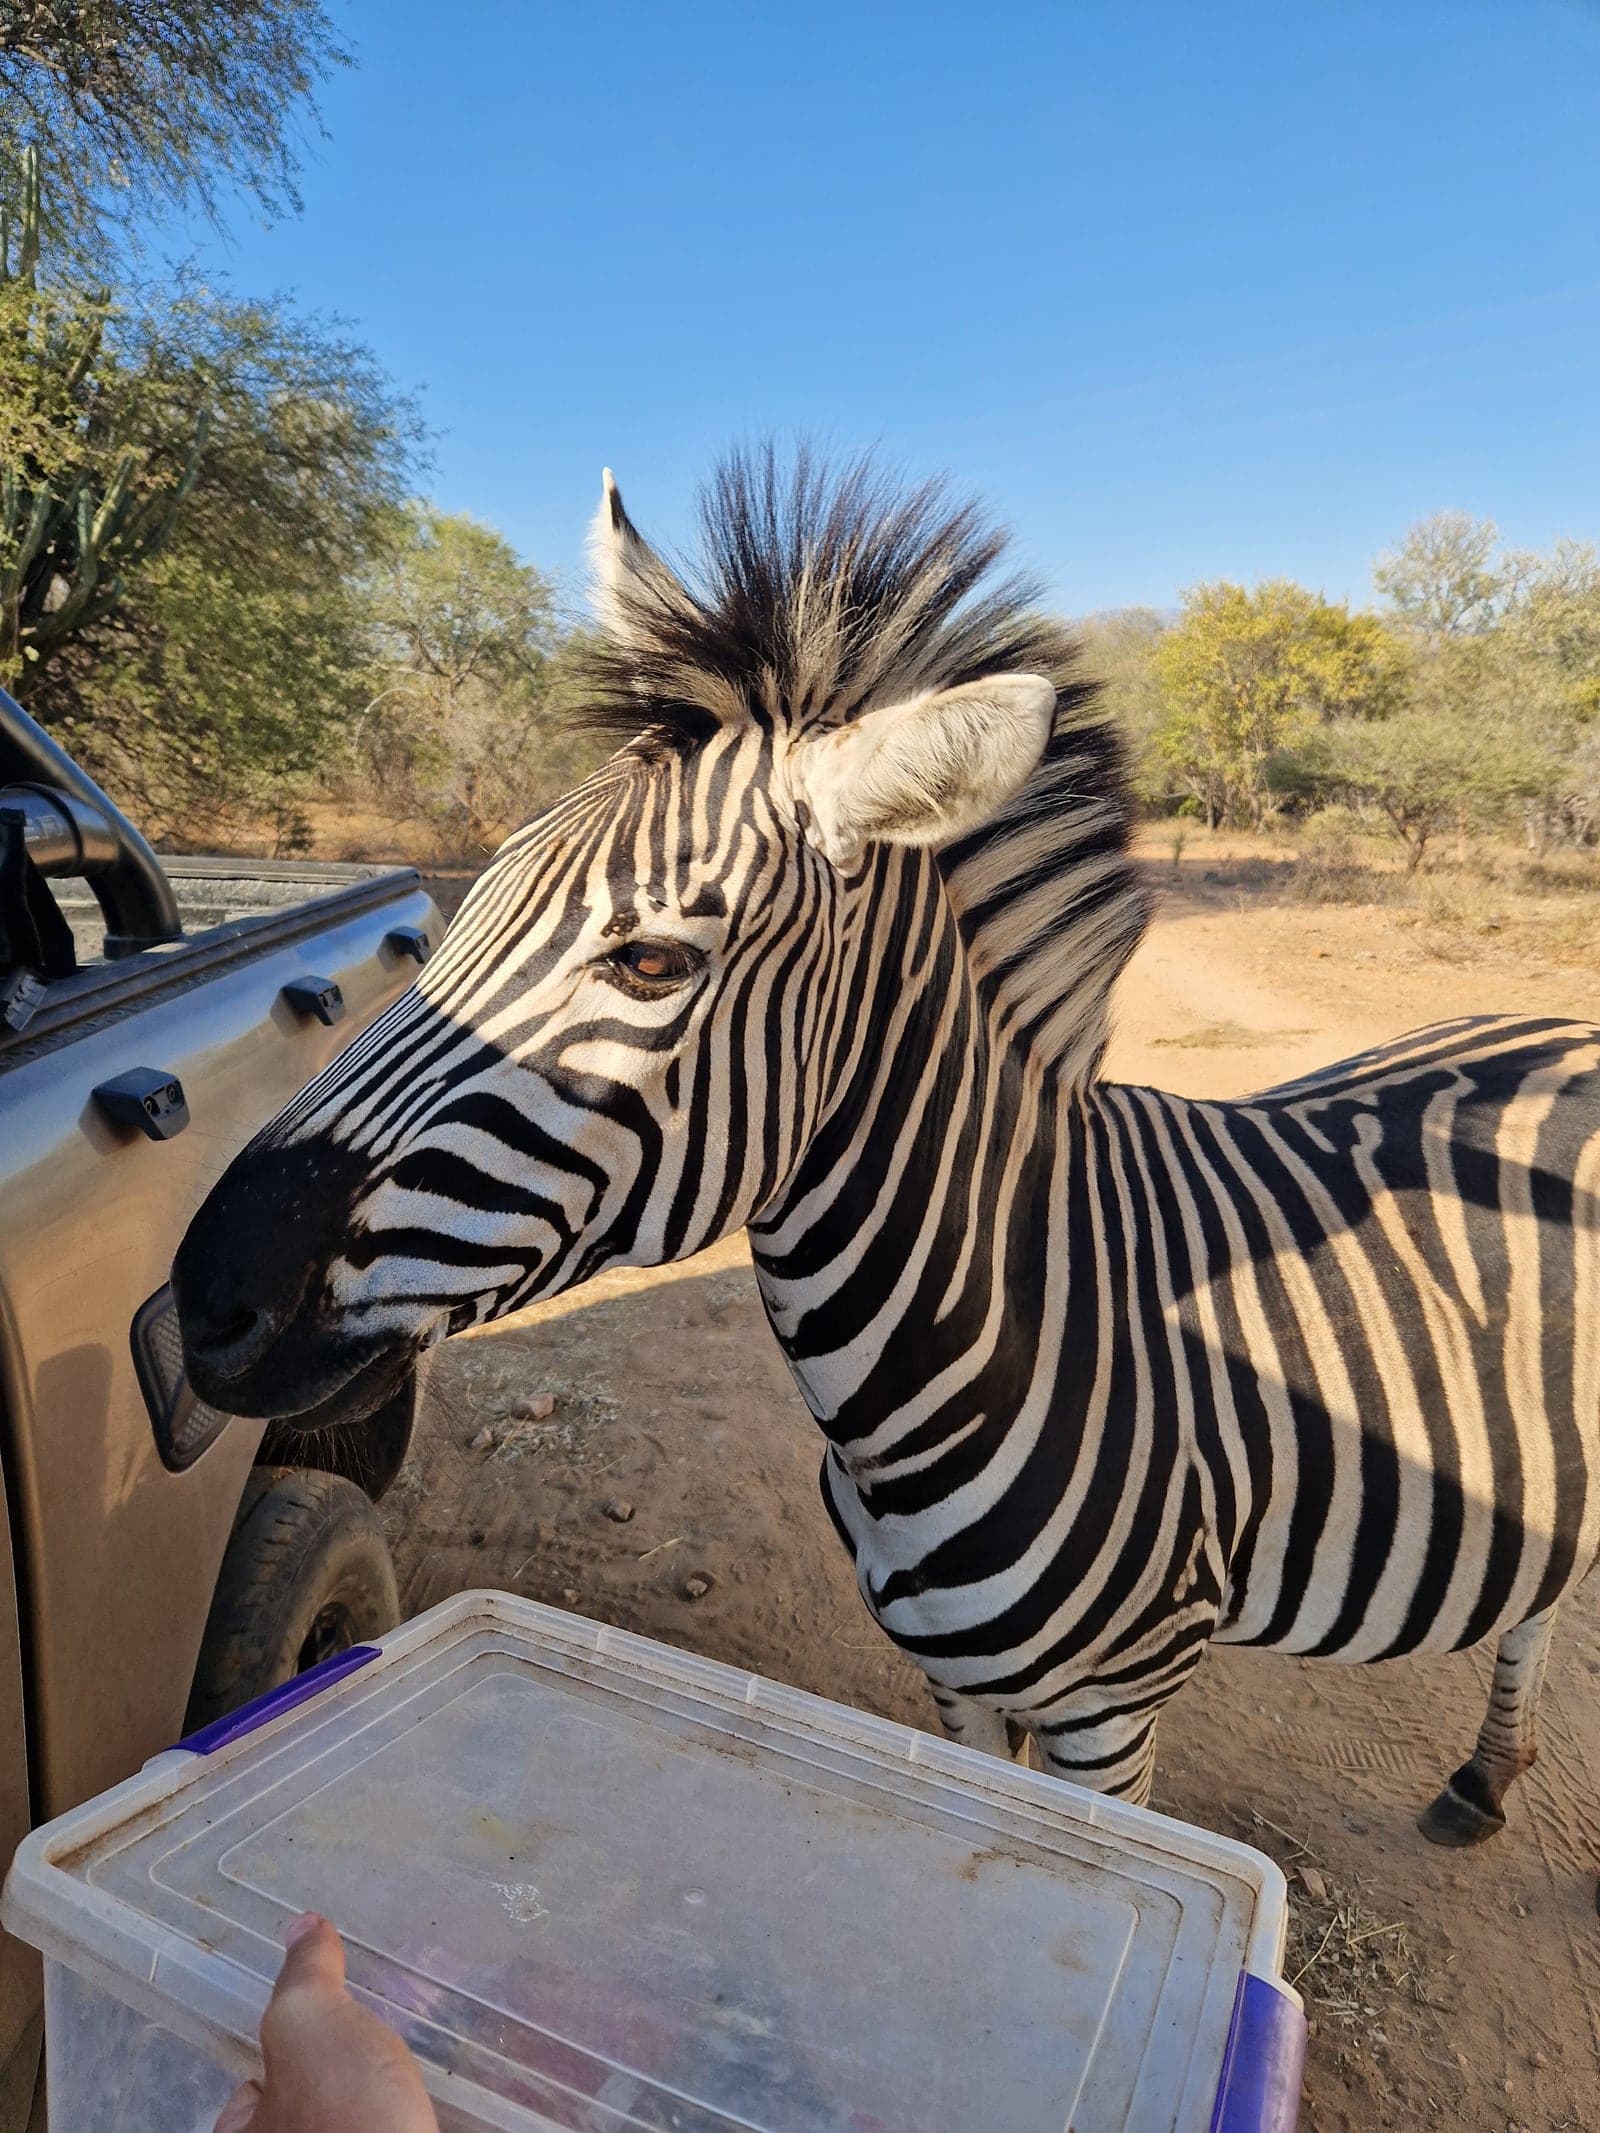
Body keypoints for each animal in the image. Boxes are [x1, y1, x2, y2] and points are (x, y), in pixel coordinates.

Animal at [174, 451, 1600, 1851]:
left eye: (651, 963)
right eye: (461, 911)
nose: (202, 1303)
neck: (959, 1364)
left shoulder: (1114, 1714)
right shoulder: (952, 1682)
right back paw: (1484, 1777)